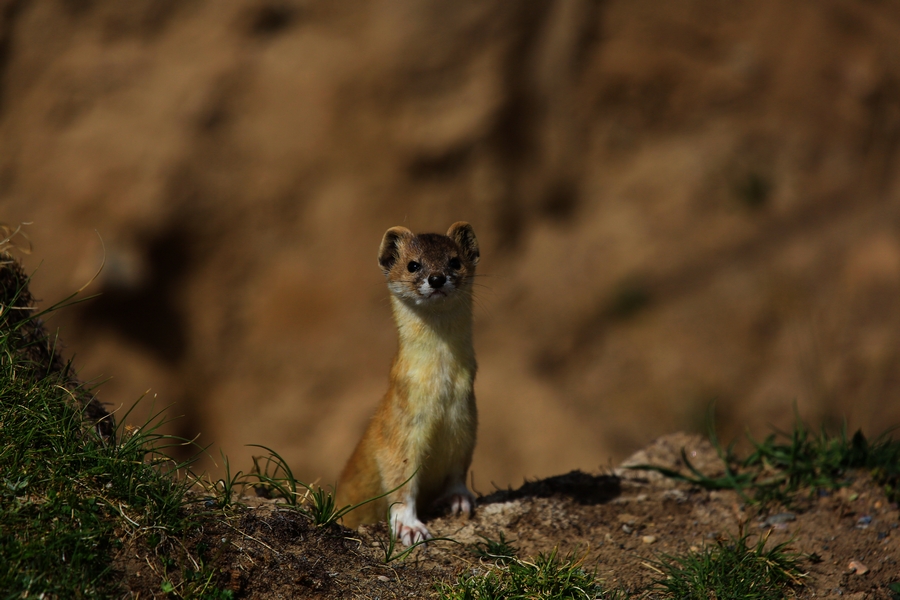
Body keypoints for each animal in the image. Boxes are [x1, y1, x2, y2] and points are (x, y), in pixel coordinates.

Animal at [336, 223, 478, 548]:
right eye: (414, 265)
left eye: (454, 261)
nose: (436, 277)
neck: (442, 389)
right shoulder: (400, 426)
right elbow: (399, 477)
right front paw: (410, 526)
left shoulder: (465, 424)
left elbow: (458, 470)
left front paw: (458, 499)